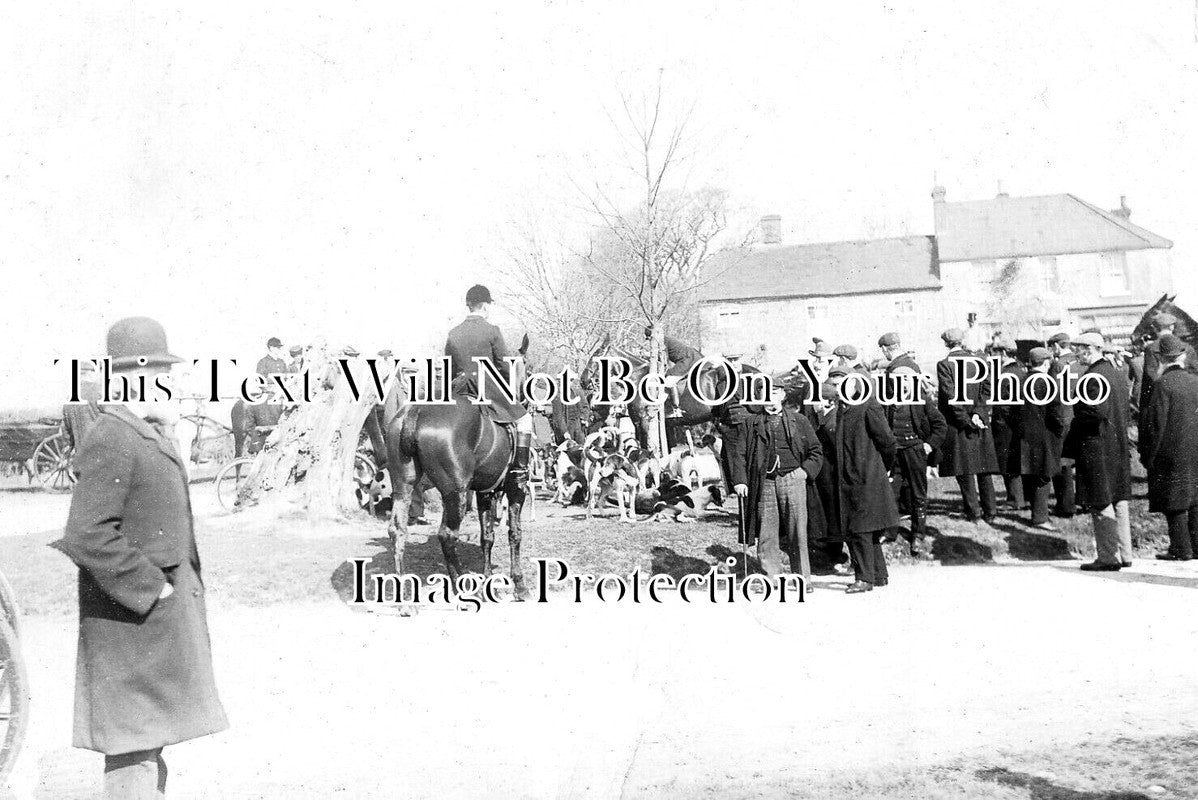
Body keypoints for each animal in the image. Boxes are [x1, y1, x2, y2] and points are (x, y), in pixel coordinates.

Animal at [376, 335, 531, 598]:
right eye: (528, 369)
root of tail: (417, 409)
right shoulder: (515, 489)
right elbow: (514, 534)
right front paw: (519, 584)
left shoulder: (485, 492)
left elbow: (487, 537)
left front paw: (488, 580)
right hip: (455, 492)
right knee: (447, 536)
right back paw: (463, 584)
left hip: (404, 486)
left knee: (398, 530)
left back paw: (404, 595)